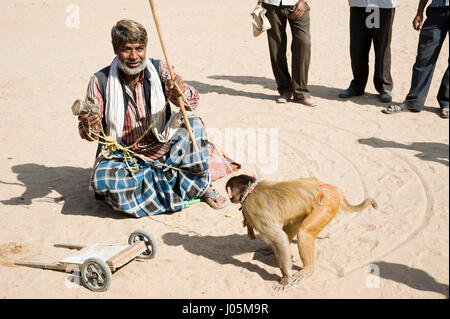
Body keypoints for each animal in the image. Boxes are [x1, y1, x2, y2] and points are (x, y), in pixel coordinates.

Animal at [224, 175, 376, 290]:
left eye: (229, 190)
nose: (228, 197)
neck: (250, 192)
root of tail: (334, 190)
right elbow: (282, 237)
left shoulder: (252, 210)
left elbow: (279, 239)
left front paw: (286, 278)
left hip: (327, 205)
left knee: (303, 232)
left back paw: (307, 269)